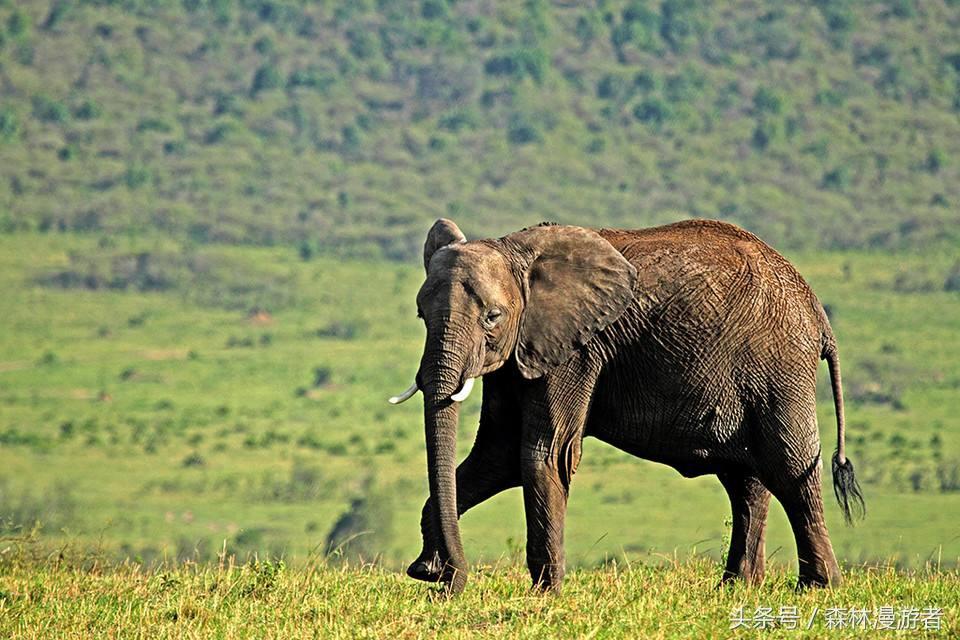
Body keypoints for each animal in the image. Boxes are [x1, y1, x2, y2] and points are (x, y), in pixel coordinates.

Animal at [386, 220, 868, 596]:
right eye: (421, 316)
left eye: (492, 317)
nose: (449, 579)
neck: (515, 250)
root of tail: (817, 312)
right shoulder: (521, 354)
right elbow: (497, 457)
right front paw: (432, 574)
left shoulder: (578, 349)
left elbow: (545, 454)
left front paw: (545, 595)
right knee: (746, 481)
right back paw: (735, 588)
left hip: (779, 367)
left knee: (790, 469)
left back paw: (817, 589)